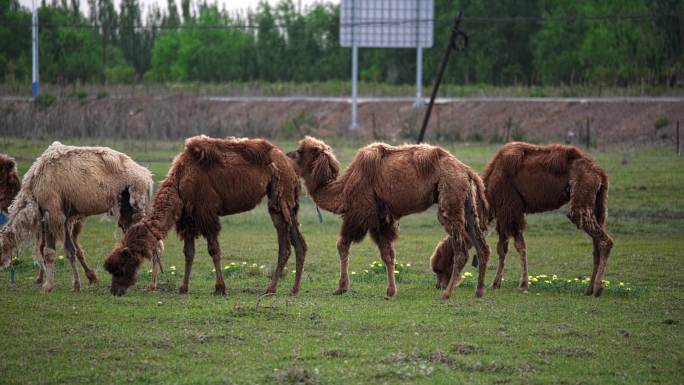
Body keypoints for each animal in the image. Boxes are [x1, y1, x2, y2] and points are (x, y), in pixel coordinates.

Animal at [0, 142, 155, 292]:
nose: (2, 264)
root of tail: (148, 176)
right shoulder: (63, 218)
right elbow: (69, 250)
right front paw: (76, 285)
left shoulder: (52, 212)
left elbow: (49, 252)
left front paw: (48, 286)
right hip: (125, 213)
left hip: (135, 205)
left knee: (152, 242)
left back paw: (151, 285)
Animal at [103, 134, 306, 296]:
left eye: (121, 267)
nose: (115, 291)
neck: (180, 181)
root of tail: (290, 165)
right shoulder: (188, 218)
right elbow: (189, 252)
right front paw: (183, 288)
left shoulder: (206, 212)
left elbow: (214, 250)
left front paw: (220, 288)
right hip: (286, 202)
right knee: (298, 243)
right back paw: (293, 289)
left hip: (280, 195)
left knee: (285, 244)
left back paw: (271, 289)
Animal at [288, 136, 492, 298]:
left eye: (300, 151)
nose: (287, 155)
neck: (343, 189)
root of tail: (467, 171)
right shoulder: (382, 220)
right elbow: (388, 254)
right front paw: (390, 292)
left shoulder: (360, 214)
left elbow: (342, 245)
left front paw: (341, 288)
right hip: (467, 205)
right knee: (481, 246)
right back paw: (479, 291)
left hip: (449, 199)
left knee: (461, 250)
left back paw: (447, 293)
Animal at [428, 142, 616, 296]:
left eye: (439, 269)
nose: (439, 286)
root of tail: (600, 173)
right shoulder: (504, 214)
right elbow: (502, 248)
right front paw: (495, 284)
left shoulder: (511, 209)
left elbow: (519, 246)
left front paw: (523, 284)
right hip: (598, 204)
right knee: (596, 244)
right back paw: (588, 289)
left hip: (581, 195)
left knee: (604, 240)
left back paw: (598, 288)